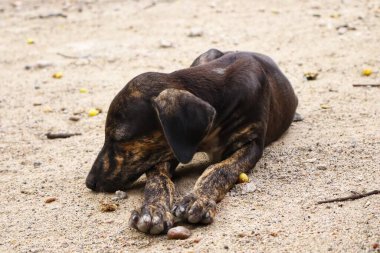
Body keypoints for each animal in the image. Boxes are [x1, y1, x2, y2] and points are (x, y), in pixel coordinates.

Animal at [85, 48, 296, 234]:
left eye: (120, 138)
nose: (90, 182)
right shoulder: (171, 147)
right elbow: (157, 180)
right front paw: (153, 209)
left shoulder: (252, 144)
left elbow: (219, 170)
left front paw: (198, 199)